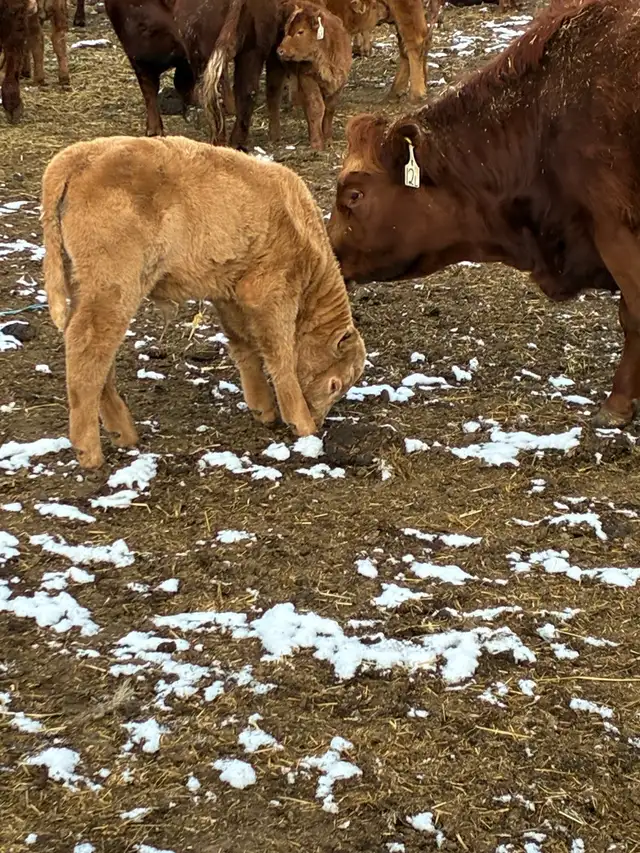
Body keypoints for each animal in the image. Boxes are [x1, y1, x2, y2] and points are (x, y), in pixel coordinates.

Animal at [41, 135, 366, 469]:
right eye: (334, 385)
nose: (319, 419)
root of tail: (78, 155)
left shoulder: (230, 292)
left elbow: (244, 346)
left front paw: (262, 409)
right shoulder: (272, 292)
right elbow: (280, 356)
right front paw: (301, 422)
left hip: (84, 284)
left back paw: (122, 433)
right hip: (112, 286)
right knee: (88, 347)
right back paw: (89, 452)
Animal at [105, 0, 287, 148]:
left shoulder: (138, 50)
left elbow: (149, 85)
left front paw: (154, 132)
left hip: (202, 45)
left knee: (212, 98)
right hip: (255, 46)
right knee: (247, 91)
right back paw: (236, 144)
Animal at [277, 3, 352, 150]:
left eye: (300, 31)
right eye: (285, 30)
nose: (280, 50)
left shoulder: (339, 83)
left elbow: (329, 109)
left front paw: (328, 139)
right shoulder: (307, 78)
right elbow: (316, 107)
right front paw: (317, 142)